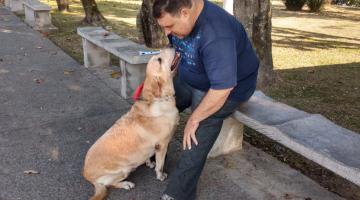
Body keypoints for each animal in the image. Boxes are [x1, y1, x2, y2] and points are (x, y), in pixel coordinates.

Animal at [83, 48, 180, 200]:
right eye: (159, 60)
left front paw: (149, 163)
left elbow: (150, 157)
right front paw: (160, 176)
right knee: (110, 184)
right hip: (123, 170)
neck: (158, 100)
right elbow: (160, 165)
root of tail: (87, 176)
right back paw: (126, 184)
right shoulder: (162, 145)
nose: (170, 45)